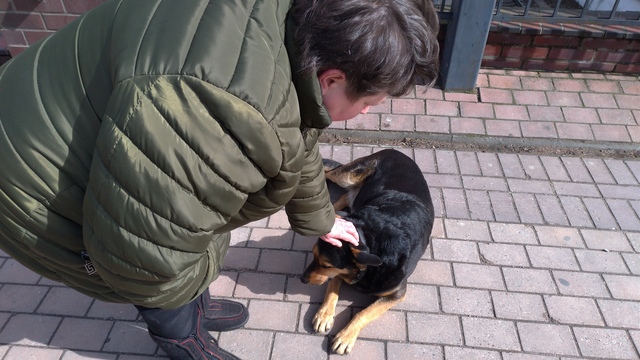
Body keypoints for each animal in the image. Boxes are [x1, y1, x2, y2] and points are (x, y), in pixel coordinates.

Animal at [300, 148, 436, 354]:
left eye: (326, 265)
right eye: (313, 256)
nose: (302, 279)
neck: (370, 236)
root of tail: (395, 150)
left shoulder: (396, 293)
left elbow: (363, 313)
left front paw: (345, 336)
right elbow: (332, 288)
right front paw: (324, 314)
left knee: (343, 195)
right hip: (346, 176)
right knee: (329, 175)